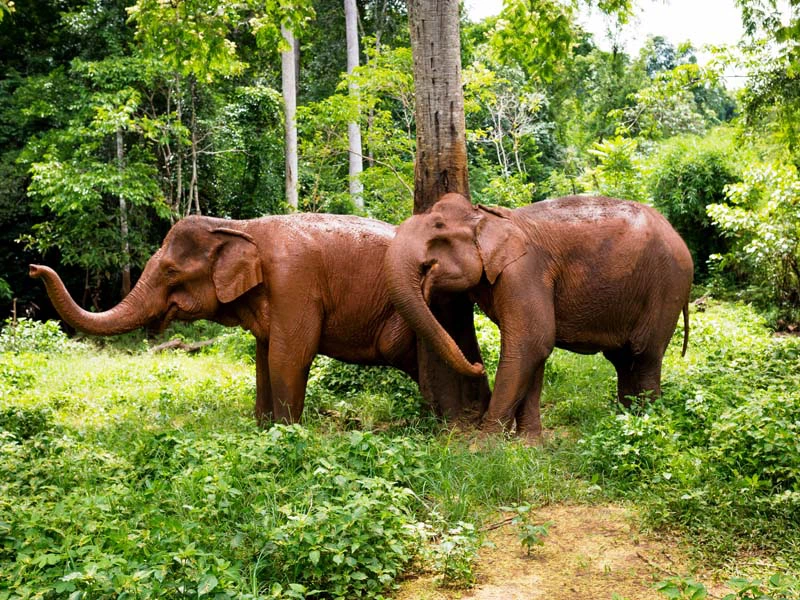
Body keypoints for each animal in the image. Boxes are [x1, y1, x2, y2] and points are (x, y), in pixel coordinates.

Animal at [30, 213, 424, 425]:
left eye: (171, 272)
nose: (34, 268)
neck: (238, 225)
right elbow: (264, 357)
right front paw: (263, 430)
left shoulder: (294, 282)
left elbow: (288, 357)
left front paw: (287, 434)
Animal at [385, 193, 693, 440]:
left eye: (438, 230)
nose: (479, 366)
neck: (488, 216)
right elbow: (534, 351)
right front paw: (528, 445)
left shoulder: (524, 272)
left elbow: (529, 344)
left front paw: (482, 448)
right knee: (624, 360)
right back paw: (624, 421)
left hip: (667, 287)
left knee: (645, 356)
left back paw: (646, 424)